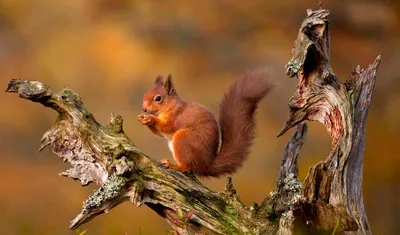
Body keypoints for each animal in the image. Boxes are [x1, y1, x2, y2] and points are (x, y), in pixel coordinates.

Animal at [138, 70, 272, 177]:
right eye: (145, 95)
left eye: (158, 98)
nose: (144, 109)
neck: (170, 106)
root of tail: (206, 165)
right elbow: (160, 134)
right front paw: (143, 119)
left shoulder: (176, 117)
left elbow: (168, 127)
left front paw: (150, 119)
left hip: (183, 139)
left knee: (187, 166)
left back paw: (173, 165)